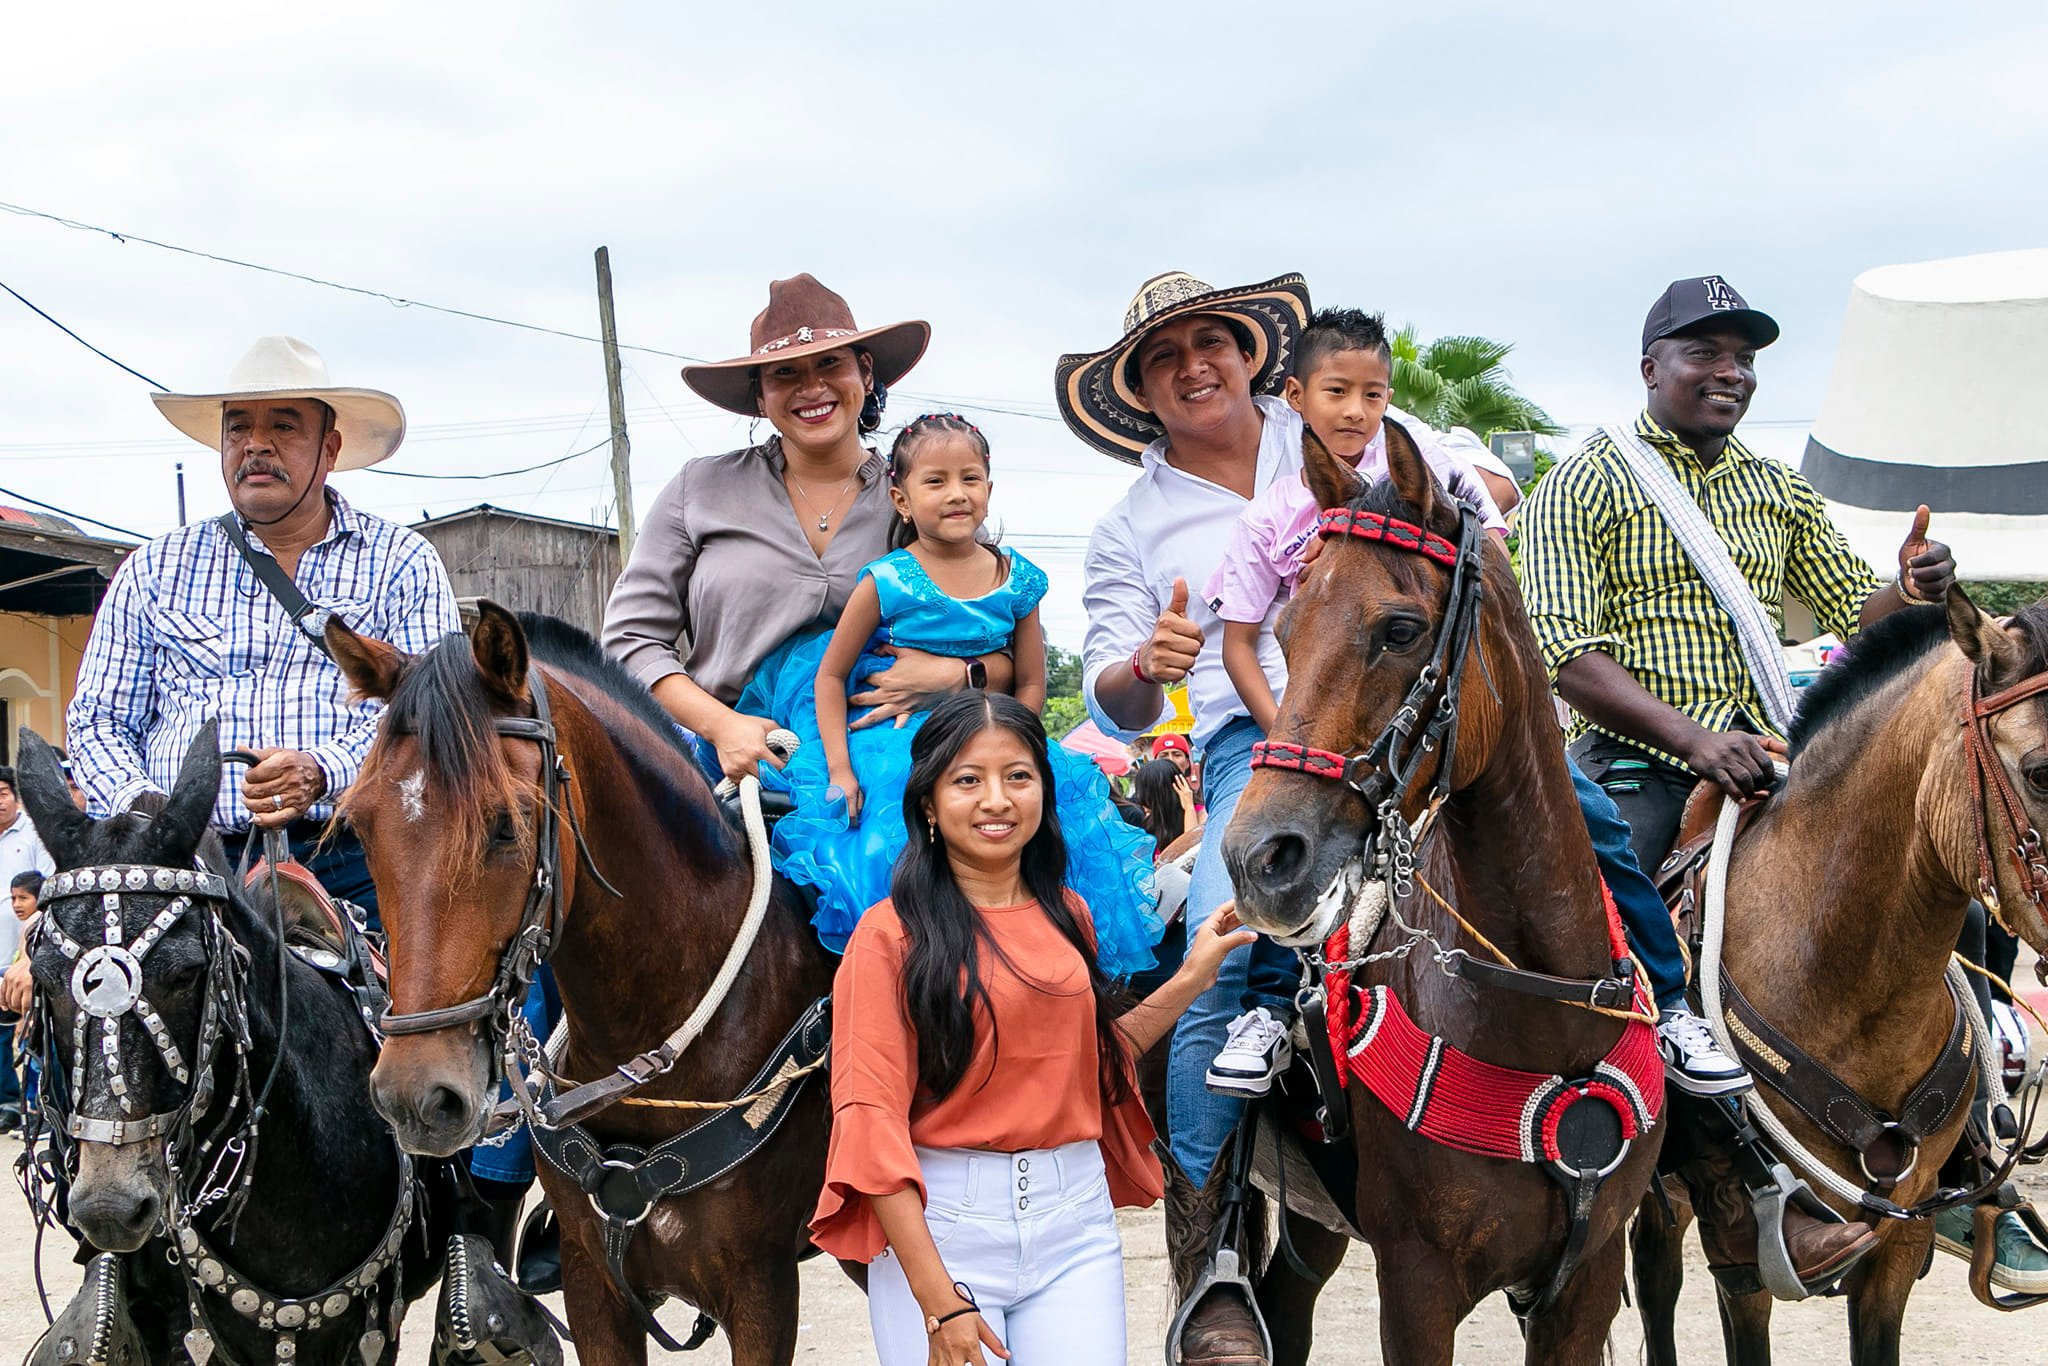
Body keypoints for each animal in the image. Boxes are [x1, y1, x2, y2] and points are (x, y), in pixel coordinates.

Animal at [1218, 422, 1666, 1365]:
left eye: (1399, 628)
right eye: (1286, 629)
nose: (1260, 860)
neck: (1540, 1006)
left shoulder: (1588, 1278)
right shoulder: (1416, 1285)